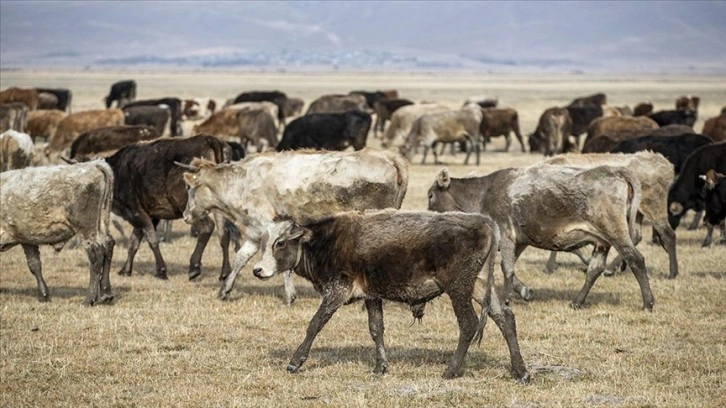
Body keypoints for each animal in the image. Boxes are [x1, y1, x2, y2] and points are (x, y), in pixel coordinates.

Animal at [105, 134, 228, 280]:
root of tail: (207, 138)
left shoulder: (136, 212)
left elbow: (151, 240)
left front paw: (161, 271)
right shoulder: (148, 215)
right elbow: (134, 242)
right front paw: (125, 270)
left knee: (207, 227)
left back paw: (194, 267)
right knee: (224, 233)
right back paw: (225, 272)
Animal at [178, 148, 410, 304]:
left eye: (189, 187)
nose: (185, 215)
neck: (242, 182)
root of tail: (389, 157)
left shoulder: (270, 226)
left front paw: (289, 296)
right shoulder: (255, 231)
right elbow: (239, 259)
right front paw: (225, 290)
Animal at [253, 210, 532, 382]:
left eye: (280, 243)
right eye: (263, 242)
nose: (257, 270)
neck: (326, 243)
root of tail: (484, 222)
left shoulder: (337, 291)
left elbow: (315, 324)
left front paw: (295, 362)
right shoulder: (371, 295)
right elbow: (376, 328)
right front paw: (380, 366)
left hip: (459, 286)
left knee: (469, 323)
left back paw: (451, 370)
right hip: (478, 285)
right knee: (505, 318)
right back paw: (521, 371)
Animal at [430, 164, 656, 310]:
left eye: (430, 195)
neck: (485, 192)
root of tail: (615, 170)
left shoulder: (506, 233)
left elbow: (506, 267)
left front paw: (506, 298)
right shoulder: (519, 241)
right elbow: (510, 266)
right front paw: (523, 291)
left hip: (615, 231)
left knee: (636, 259)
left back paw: (648, 303)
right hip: (602, 241)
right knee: (595, 269)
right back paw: (577, 301)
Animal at [548, 153, 680, 280]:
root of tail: (666, 164)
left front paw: (550, 266)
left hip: (653, 206)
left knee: (668, 234)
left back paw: (673, 273)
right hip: (636, 212)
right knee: (635, 236)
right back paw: (611, 269)